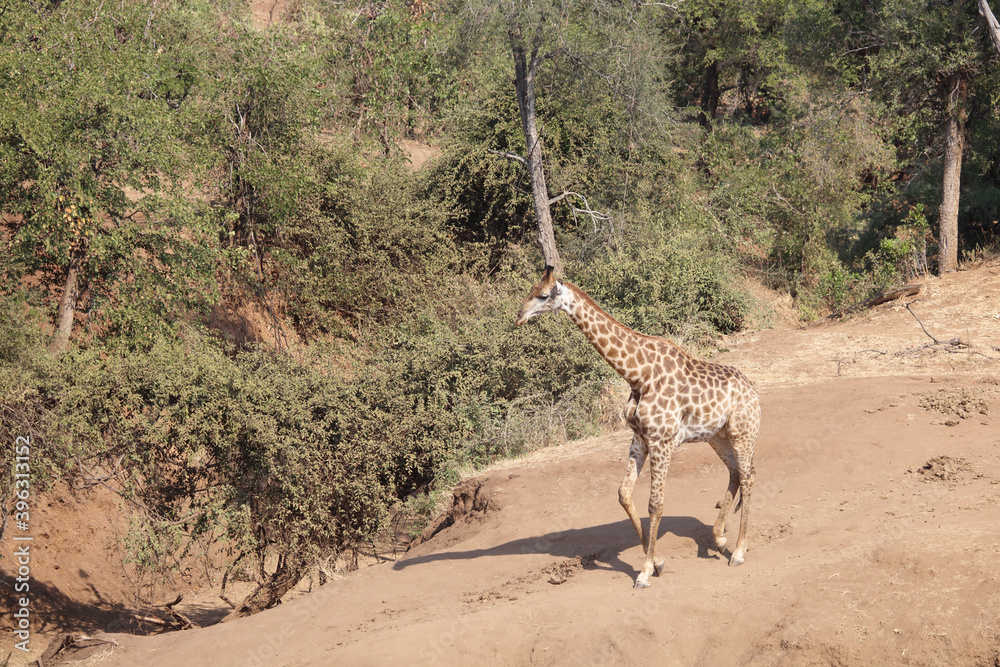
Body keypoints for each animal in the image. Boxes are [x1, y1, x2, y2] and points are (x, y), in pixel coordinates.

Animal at [515, 267, 760, 588]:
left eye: (543, 295)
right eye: (530, 290)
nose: (518, 316)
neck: (637, 374)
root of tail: (753, 389)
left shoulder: (661, 441)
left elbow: (655, 504)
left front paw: (644, 573)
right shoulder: (639, 439)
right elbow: (624, 494)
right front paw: (657, 562)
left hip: (743, 432)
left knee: (748, 477)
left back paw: (739, 552)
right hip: (717, 436)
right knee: (734, 472)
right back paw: (719, 540)